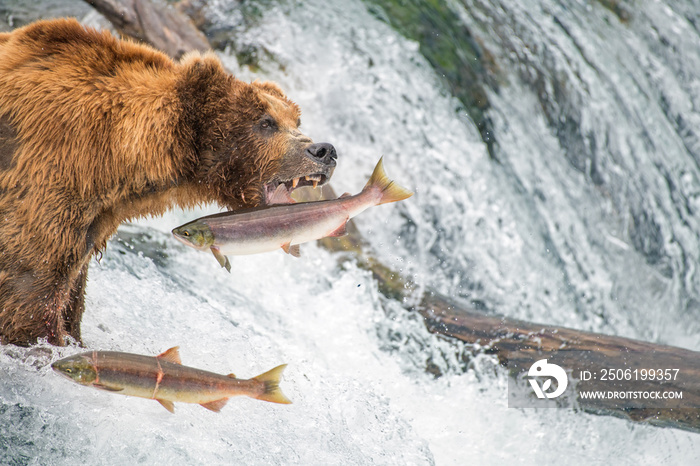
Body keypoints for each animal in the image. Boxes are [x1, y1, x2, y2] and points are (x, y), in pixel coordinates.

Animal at [0, 18, 340, 346]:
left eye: (295, 120)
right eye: (266, 122)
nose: (324, 150)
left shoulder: (92, 218)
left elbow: (71, 294)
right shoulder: (49, 180)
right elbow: (30, 288)